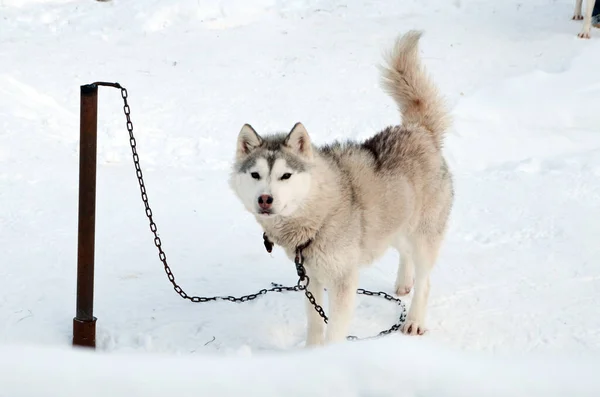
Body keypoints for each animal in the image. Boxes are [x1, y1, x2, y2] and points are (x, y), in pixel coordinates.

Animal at [227, 31, 452, 344]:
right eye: (255, 175)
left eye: (285, 176)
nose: (265, 199)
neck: (319, 215)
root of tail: (418, 130)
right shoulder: (310, 278)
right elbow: (314, 325)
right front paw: (310, 351)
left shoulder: (343, 280)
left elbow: (334, 332)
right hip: (393, 225)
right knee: (404, 253)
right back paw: (403, 285)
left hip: (423, 235)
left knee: (426, 281)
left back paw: (415, 320)